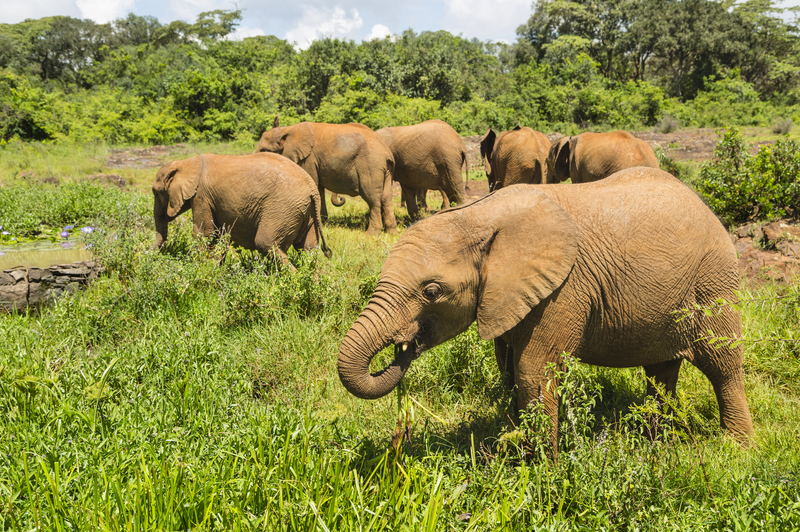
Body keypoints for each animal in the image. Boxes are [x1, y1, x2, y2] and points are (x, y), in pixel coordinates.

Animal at [152, 152, 331, 262]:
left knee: (267, 243)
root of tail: (312, 189)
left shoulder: (201, 197)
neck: (187, 162)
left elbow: (205, 234)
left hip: (284, 210)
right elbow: (218, 235)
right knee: (308, 250)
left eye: (155, 192)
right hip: (307, 212)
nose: (152, 255)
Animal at [257, 116, 396, 234]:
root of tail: (386, 152)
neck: (286, 130)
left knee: (373, 198)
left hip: (370, 165)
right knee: (386, 198)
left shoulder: (308, 159)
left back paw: (371, 234)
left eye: (264, 150)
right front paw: (323, 223)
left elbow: (314, 184)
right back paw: (391, 232)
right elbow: (318, 189)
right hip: (385, 169)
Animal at [337, 167, 753, 455]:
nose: (402, 346)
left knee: (722, 364)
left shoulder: (563, 290)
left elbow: (533, 370)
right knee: (660, 373)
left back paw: (737, 447)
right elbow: (509, 370)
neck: (478, 216)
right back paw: (655, 442)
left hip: (713, 282)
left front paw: (540, 469)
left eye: (431, 292)